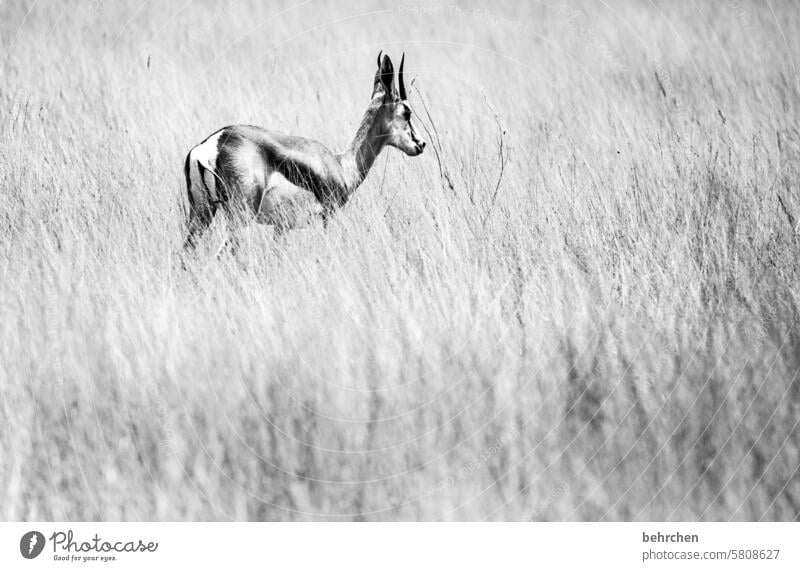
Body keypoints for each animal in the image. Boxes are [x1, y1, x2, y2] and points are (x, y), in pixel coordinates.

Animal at [182, 49, 424, 246]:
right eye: (407, 112)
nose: (420, 144)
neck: (342, 166)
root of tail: (214, 143)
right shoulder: (326, 217)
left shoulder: (281, 228)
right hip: (238, 218)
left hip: (201, 215)